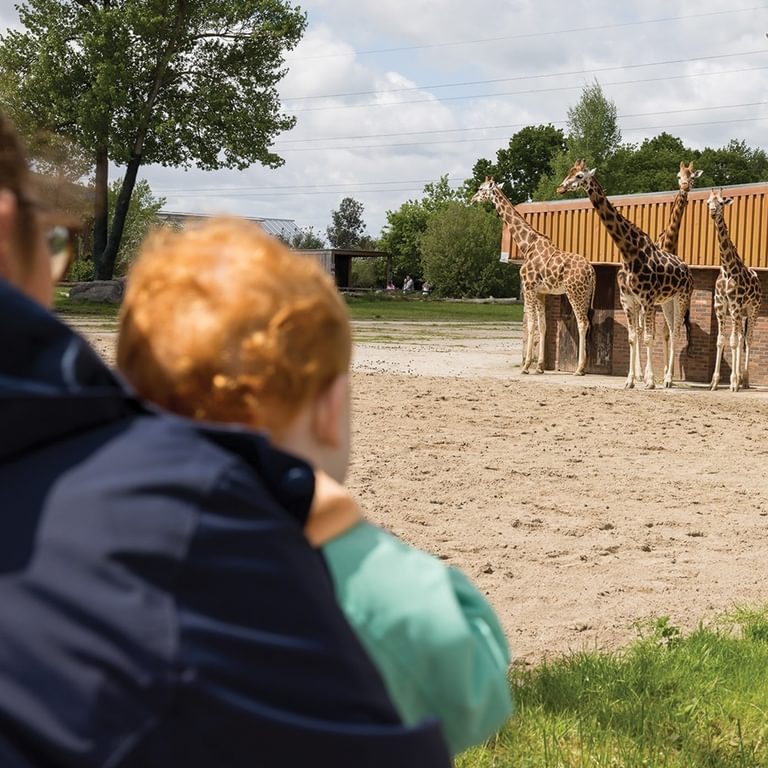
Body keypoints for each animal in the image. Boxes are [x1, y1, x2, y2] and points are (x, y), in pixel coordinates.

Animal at [471, 177, 596, 375]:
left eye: (481, 189)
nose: (472, 199)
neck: (526, 245)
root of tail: (591, 270)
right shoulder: (541, 292)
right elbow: (542, 326)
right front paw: (539, 367)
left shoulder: (528, 287)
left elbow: (530, 325)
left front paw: (526, 366)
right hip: (585, 294)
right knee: (588, 323)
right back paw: (582, 368)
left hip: (575, 293)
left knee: (582, 323)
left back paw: (579, 369)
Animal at [557, 160, 693, 389]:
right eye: (569, 172)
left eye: (580, 176)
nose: (560, 188)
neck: (629, 252)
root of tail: (688, 270)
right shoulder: (627, 300)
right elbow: (632, 337)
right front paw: (630, 380)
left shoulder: (647, 300)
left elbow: (647, 337)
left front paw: (649, 381)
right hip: (667, 301)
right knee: (671, 331)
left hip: (682, 297)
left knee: (675, 332)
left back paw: (667, 379)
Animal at [707, 188, 763, 392]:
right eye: (708, 202)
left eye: (722, 203)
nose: (713, 212)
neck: (727, 269)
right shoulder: (720, 307)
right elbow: (721, 340)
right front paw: (715, 382)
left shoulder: (735, 306)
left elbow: (734, 341)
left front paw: (732, 381)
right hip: (739, 314)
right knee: (739, 338)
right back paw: (738, 378)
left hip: (752, 310)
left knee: (746, 340)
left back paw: (743, 379)